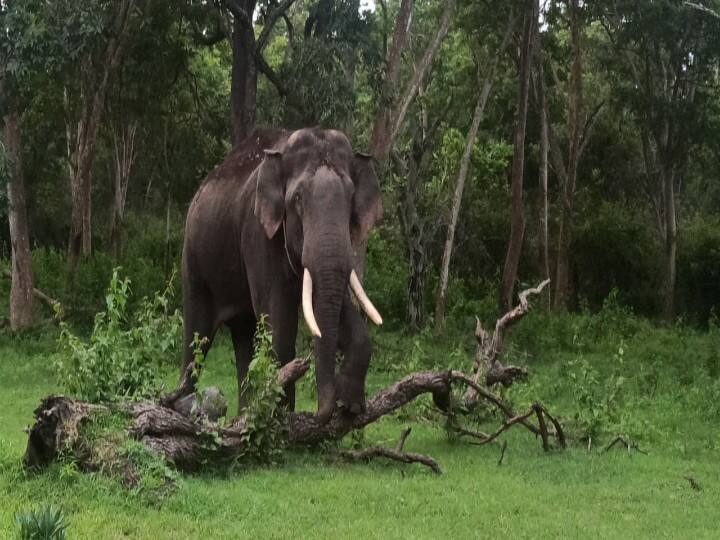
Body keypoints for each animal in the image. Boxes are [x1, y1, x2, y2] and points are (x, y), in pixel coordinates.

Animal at [179, 126, 382, 422]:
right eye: (297, 199)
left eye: (350, 197)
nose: (321, 412)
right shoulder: (258, 235)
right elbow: (280, 329)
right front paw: (280, 419)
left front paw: (350, 406)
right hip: (194, 260)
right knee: (197, 336)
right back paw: (184, 406)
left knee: (244, 335)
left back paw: (242, 417)